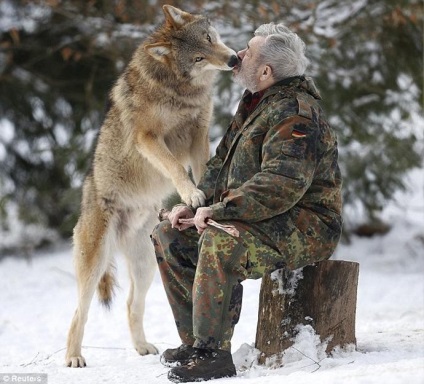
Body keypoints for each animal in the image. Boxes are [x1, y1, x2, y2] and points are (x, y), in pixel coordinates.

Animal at [66, 4, 238, 368]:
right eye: (198, 57)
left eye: (209, 38)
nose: (232, 60)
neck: (180, 90)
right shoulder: (148, 138)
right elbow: (174, 167)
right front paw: (191, 193)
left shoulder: (199, 133)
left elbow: (203, 167)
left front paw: (204, 198)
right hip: (95, 264)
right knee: (79, 312)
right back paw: (73, 358)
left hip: (146, 265)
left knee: (132, 304)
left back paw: (143, 348)